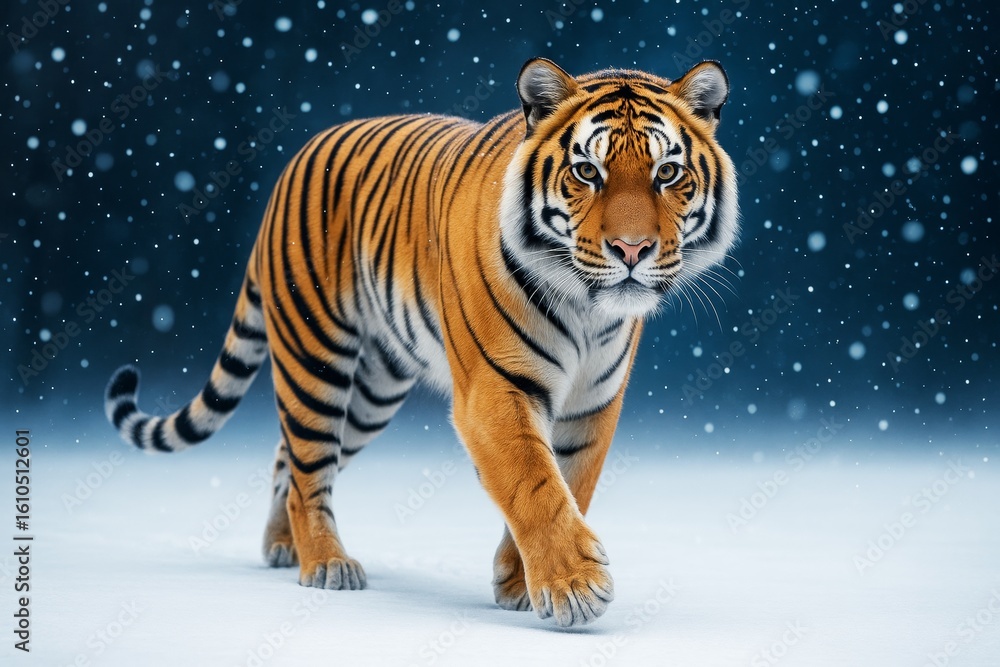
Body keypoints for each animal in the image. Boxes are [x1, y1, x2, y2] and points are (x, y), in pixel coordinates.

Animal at [104, 58, 739, 627]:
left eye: (667, 174)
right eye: (587, 172)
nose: (632, 250)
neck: (586, 308)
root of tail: (297, 158)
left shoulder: (592, 405)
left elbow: (570, 485)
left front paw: (518, 582)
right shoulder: (494, 391)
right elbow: (534, 484)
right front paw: (573, 586)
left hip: (373, 394)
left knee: (289, 457)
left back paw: (281, 547)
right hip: (316, 359)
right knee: (308, 467)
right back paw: (325, 564)